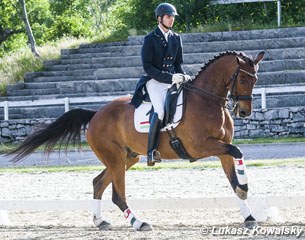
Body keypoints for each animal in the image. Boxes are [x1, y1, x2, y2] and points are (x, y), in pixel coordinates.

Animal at [7, 50, 264, 231]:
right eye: (242, 80)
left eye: (256, 80)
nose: (244, 112)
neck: (207, 100)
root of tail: (96, 114)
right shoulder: (200, 147)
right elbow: (238, 151)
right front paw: (245, 188)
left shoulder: (220, 149)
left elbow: (232, 174)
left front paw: (248, 212)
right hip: (115, 159)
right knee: (117, 195)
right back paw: (139, 223)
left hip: (125, 158)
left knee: (98, 183)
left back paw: (100, 221)